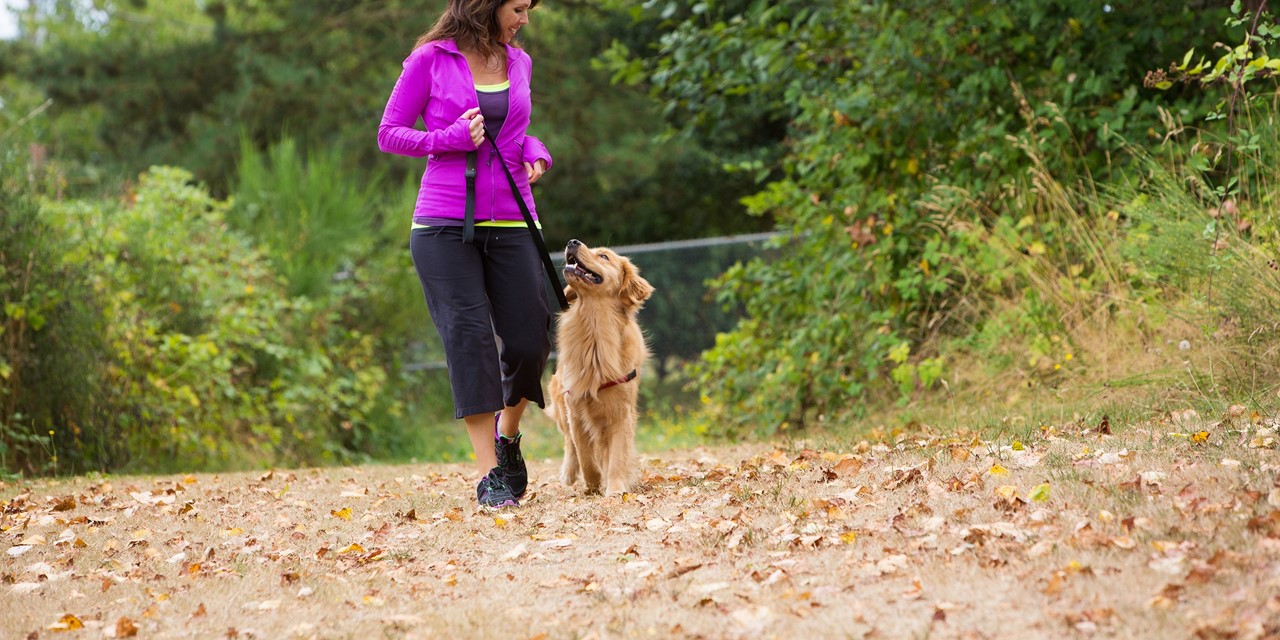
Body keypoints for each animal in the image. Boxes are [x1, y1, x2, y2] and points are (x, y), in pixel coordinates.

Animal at [545, 239, 655, 494]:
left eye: (604, 256)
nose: (572, 242)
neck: (595, 329)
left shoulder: (621, 412)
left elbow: (616, 455)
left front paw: (615, 488)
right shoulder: (575, 406)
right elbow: (584, 454)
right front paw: (593, 483)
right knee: (570, 443)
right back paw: (569, 473)